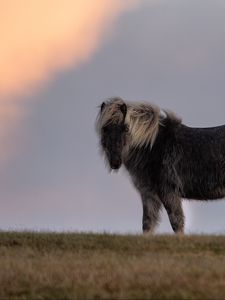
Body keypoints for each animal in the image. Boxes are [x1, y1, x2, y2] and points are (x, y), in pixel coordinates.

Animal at [96, 97, 225, 233]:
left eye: (125, 128)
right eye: (104, 129)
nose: (115, 162)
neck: (153, 146)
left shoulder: (168, 192)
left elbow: (176, 222)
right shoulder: (148, 194)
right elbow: (147, 223)